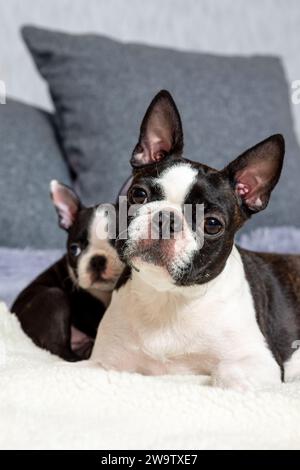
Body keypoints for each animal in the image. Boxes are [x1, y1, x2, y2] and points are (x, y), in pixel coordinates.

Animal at [91, 90, 300, 392]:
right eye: (139, 194)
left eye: (212, 224)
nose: (167, 219)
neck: (168, 297)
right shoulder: (106, 360)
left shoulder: (258, 361)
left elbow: (226, 375)